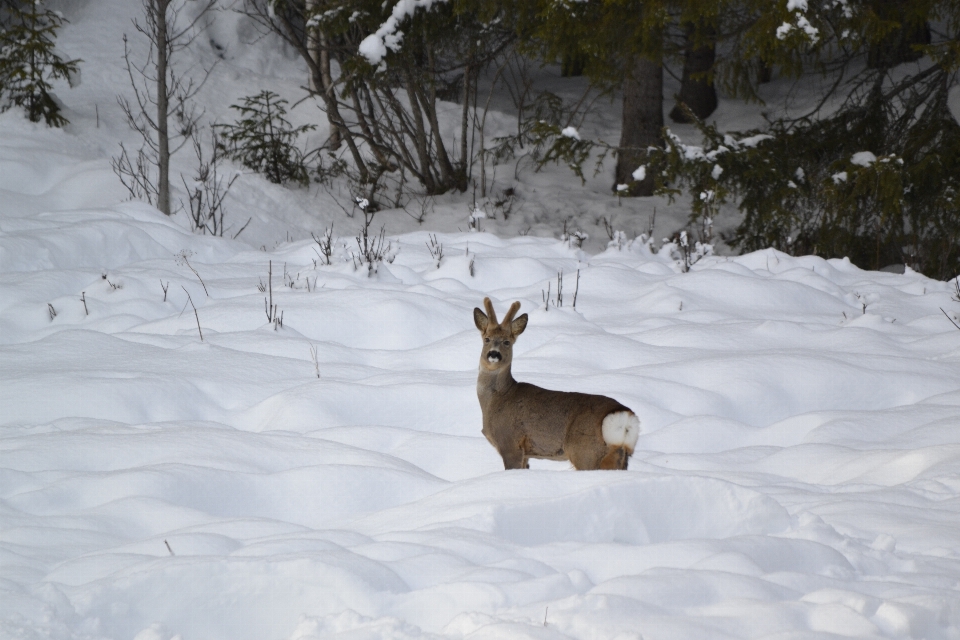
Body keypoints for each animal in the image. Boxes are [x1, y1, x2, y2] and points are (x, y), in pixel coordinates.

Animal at [470, 296, 636, 470]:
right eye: (487, 339)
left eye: (507, 342)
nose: (494, 354)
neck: (497, 399)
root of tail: (623, 414)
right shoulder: (526, 454)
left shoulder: (510, 442)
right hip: (618, 457)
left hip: (585, 451)